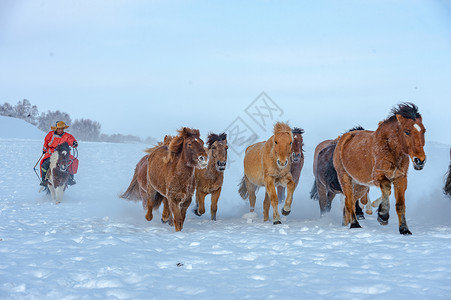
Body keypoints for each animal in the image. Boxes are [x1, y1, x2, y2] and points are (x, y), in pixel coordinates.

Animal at [336, 103, 428, 234]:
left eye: (424, 131)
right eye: (406, 132)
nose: (420, 160)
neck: (390, 149)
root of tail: (344, 137)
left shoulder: (401, 178)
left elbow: (400, 204)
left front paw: (404, 229)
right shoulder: (378, 176)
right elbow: (386, 187)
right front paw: (383, 215)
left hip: (360, 184)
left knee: (353, 201)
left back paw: (347, 222)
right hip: (345, 178)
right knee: (349, 201)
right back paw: (354, 224)